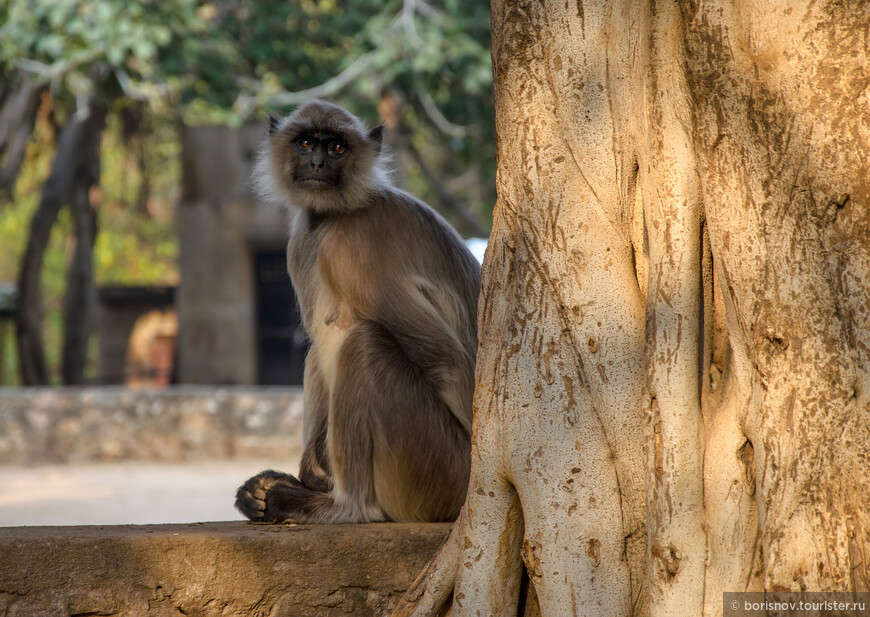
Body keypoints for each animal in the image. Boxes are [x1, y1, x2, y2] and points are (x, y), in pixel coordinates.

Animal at [237, 98, 484, 524]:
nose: (318, 163)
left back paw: (345, 507)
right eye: (306, 143)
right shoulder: (301, 244)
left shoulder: (353, 249)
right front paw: (305, 472)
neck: (338, 215)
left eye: (338, 148)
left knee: (365, 344)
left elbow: (447, 360)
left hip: (436, 467)